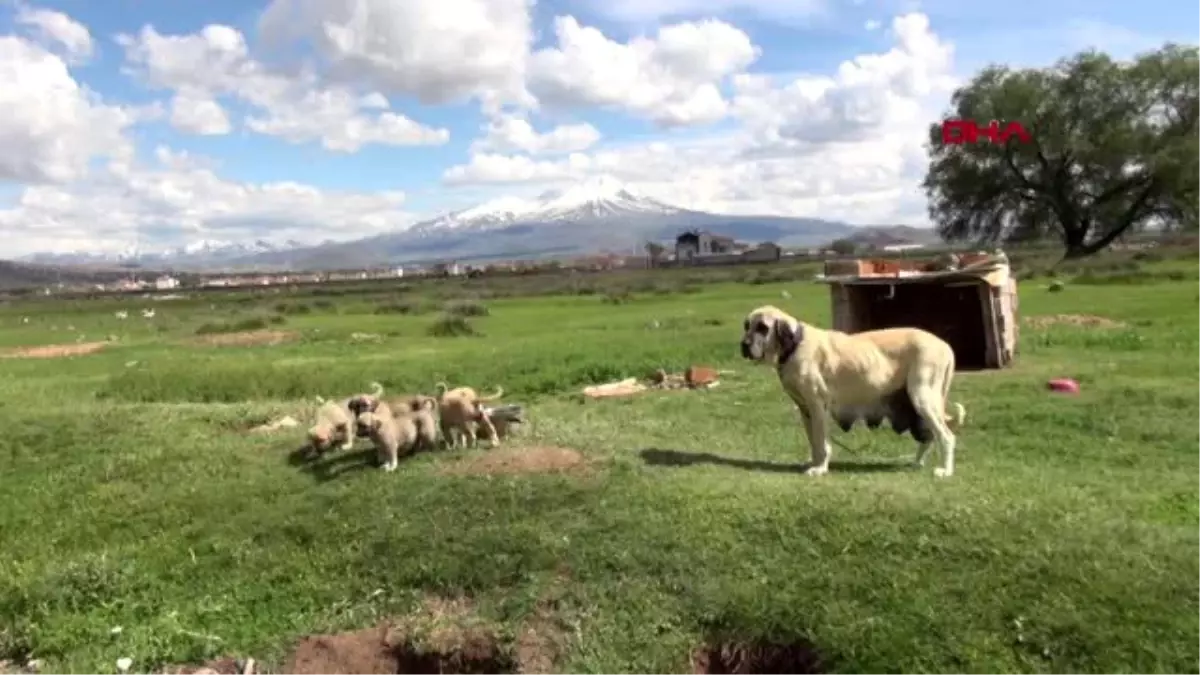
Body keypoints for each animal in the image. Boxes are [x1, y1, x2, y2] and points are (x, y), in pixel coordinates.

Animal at [734, 305, 969, 478]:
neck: (795, 346)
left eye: (762, 328)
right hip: (916, 405)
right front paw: (815, 463)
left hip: (923, 398)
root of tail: (945, 346)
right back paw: (917, 463)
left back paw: (946, 471)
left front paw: (820, 469)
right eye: (746, 325)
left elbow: (822, 442)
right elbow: (814, 442)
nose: (743, 345)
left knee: (946, 436)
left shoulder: (818, 408)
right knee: (929, 436)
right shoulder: (805, 410)